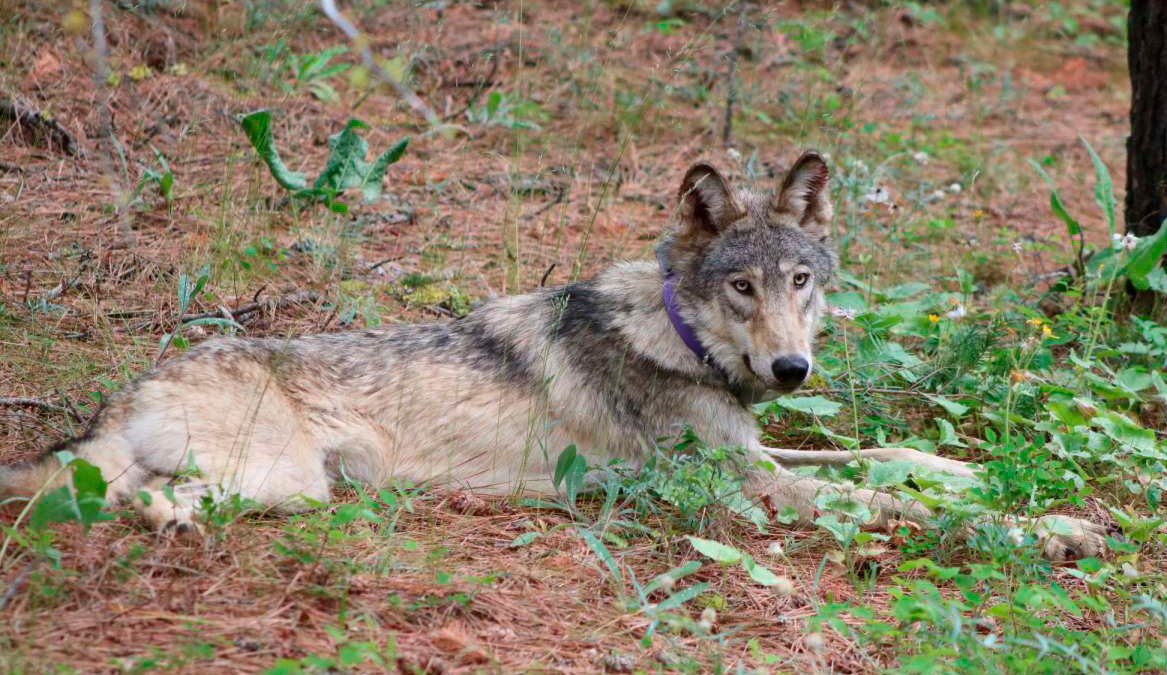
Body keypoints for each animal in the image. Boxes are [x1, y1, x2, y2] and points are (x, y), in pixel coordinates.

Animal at [0, 152, 1107, 561]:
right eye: (740, 288)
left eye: (801, 280)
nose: (792, 372)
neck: (678, 337)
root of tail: (133, 385)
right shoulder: (746, 490)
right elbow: (884, 502)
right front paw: (1050, 527)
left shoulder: (754, 454)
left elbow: (887, 459)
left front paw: (972, 474)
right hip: (285, 483)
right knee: (128, 500)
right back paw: (160, 523)